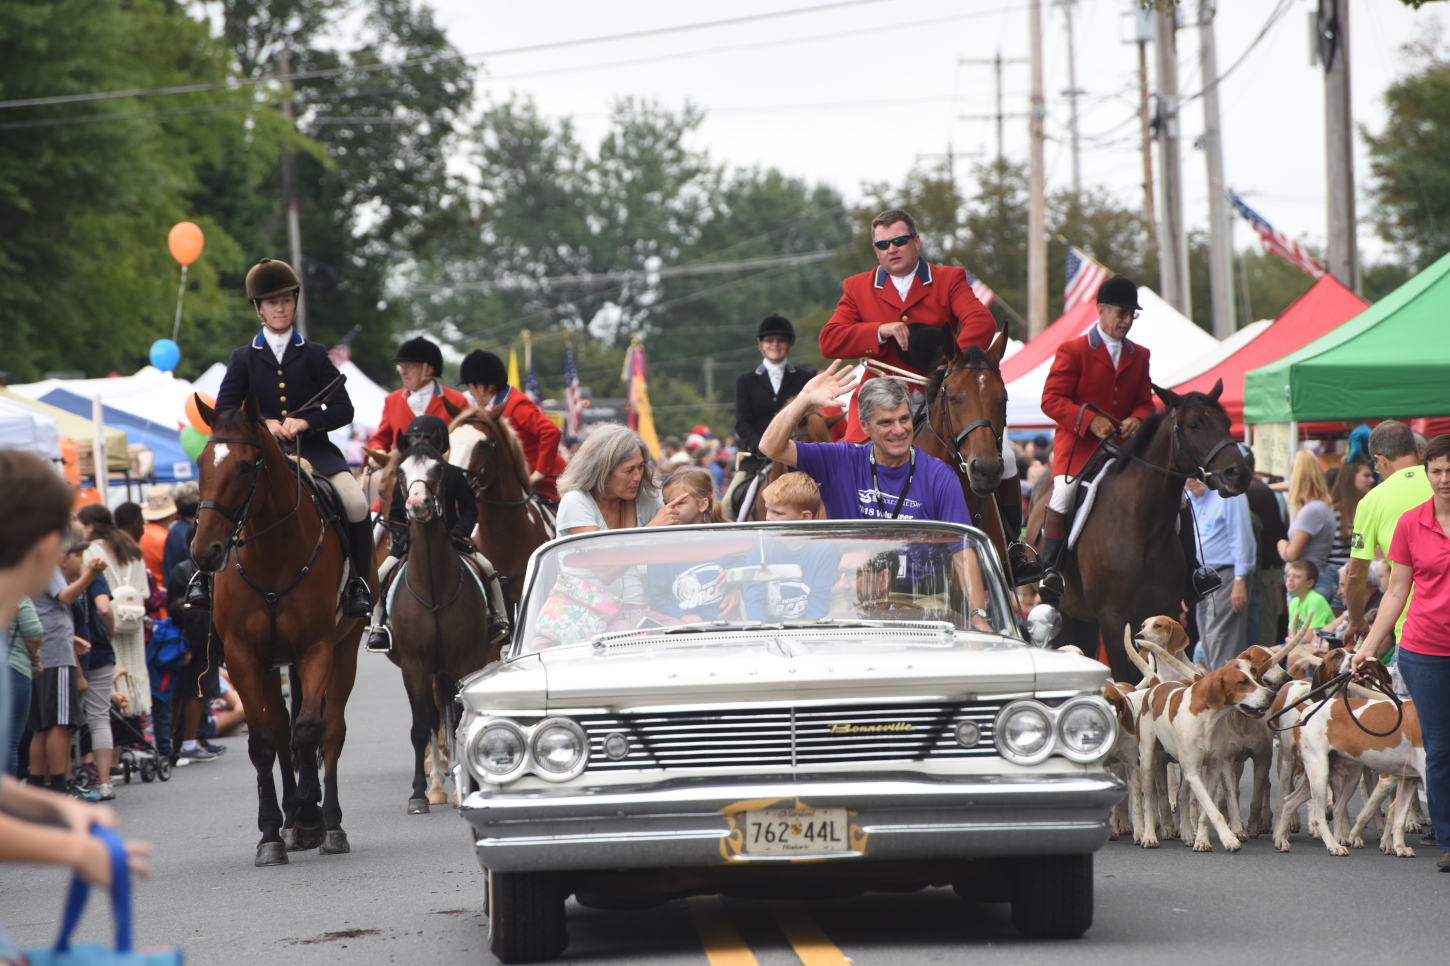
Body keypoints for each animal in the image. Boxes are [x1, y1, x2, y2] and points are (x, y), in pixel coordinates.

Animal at [189, 394, 371, 858]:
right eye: (200, 463)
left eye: (244, 467)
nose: (204, 552)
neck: (272, 554)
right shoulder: (243, 656)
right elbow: (263, 741)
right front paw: (272, 830)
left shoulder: (317, 649)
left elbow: (308, 732)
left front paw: (312, 817)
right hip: (272, 664)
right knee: (280, 730)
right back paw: (290, 820)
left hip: (343, 652)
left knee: (330, 731)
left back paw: (328, 822)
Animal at [388, 438, 501, 812]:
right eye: (401, 472)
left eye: (437, 469)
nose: (417, 505)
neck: (434, 589)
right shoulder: (414, 666)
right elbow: (421, 727)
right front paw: (419, 794)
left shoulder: (466, 661)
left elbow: (460, 721)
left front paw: (462, 788)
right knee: (435, 719)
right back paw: (437, 783)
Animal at [1026, 380, 1252, 681]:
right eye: (1193, 424)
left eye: (1227, 422)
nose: (1239, 474)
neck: (1143, 528)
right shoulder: (1113, 619)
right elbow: (1128, 677)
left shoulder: (1165, 611)